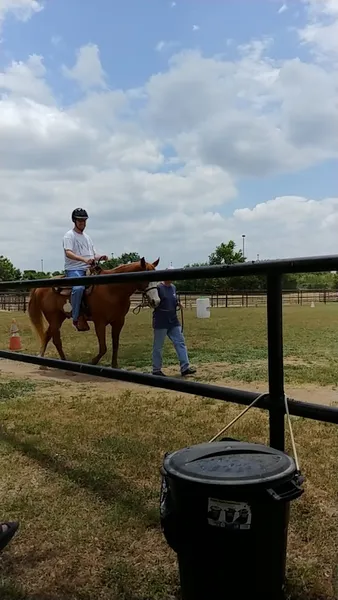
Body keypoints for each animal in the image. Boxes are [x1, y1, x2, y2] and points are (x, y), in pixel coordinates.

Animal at [28, 256, 160, 366]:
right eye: (146, 279)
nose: (156, 301)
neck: (112, 290)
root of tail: (40, 288)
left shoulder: (118, 321)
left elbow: (115, 345)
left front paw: (114, 366)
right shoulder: (100, 322)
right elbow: (103, 347)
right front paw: (92, 362)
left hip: (59, 317)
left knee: (47, 335)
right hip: (54, 318)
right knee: (56, 340)